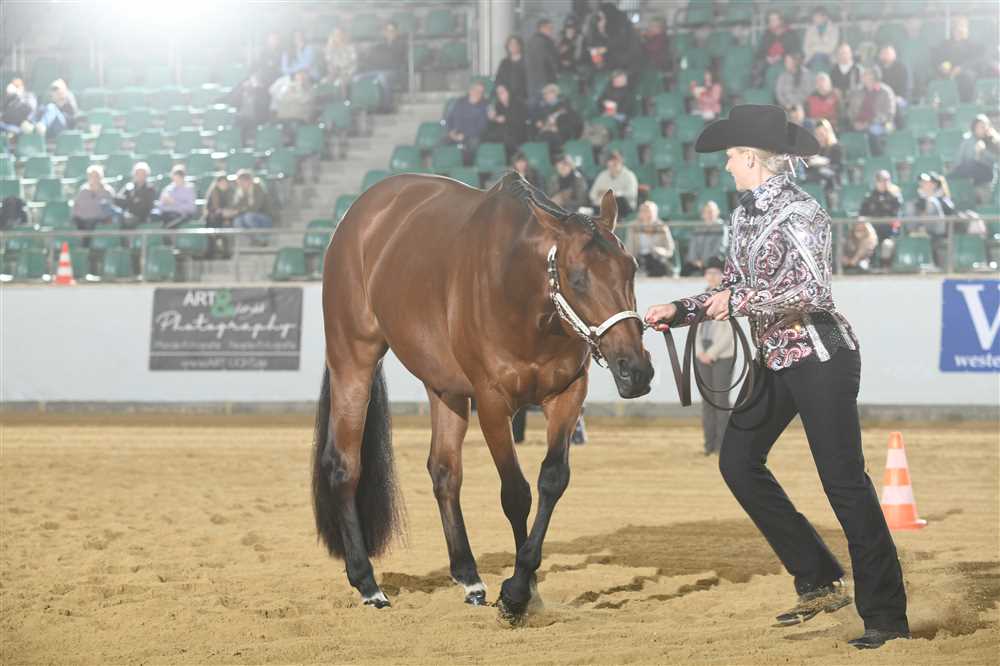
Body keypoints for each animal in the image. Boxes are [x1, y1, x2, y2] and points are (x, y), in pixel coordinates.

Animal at [311, 171, 654, 622]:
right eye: (578, 277)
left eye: (631, 268)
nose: (636, 370)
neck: (518, 293)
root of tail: (357, 215)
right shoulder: (492, 403)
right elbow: (516, 493)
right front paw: (518, 593)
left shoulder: (567, 395)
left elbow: (552, 480)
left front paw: (527, 583)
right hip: (353, 359)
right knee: (343, 466)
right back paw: (368, 584)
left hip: (445, 387)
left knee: (444, 471)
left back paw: (468, 576)